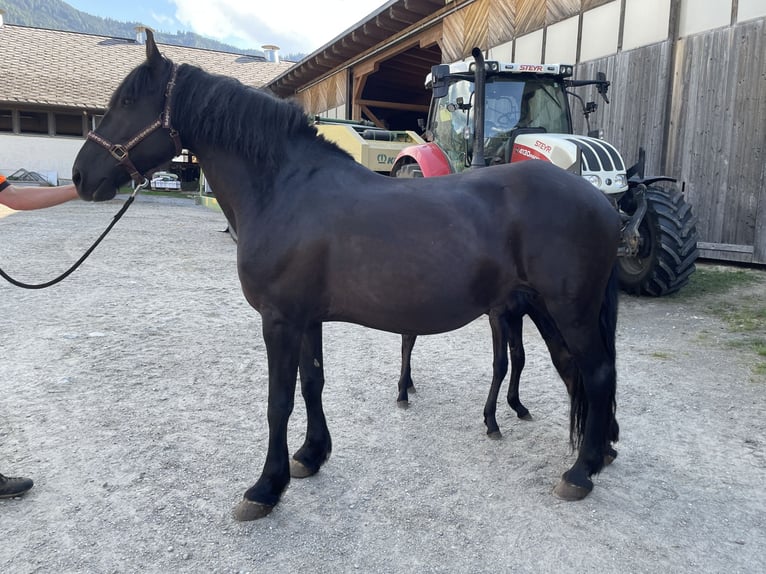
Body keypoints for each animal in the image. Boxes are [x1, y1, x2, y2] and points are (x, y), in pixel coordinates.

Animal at [72, 31, 621, 521]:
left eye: (128, 101)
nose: (81, 176)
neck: (285, 187)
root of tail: (601, 200)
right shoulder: (306, 318)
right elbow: (313, 382)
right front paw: (310, 456)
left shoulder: (278, 319)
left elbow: (278, 401)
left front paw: (265, 488)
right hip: (545, 308)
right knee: (577, 371)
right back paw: (600, 452)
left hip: (568, 310)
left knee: (595, 373)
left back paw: (580, 473)